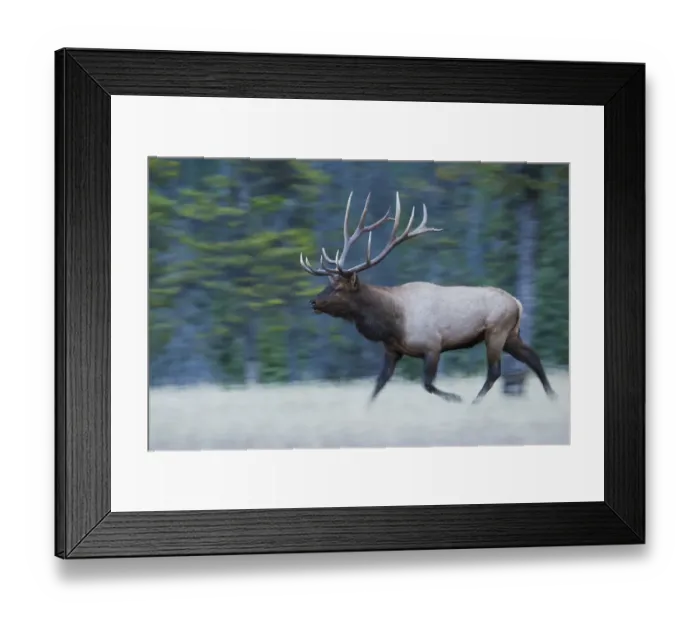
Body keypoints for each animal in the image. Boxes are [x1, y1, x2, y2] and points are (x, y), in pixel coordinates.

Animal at [299, 191, 557, 405]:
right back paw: (552, 395)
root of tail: (518, 303)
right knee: (533, 358)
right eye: (328, 284)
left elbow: (427, 384)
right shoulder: (392, 350)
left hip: (496, 331)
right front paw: (366, 410)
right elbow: (378, 384)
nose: (313, 302)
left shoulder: (432, 345)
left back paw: (474, 403)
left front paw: (456, 398)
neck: (392, 323)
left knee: (495, 371)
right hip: (511, 334)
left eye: (338, 288)